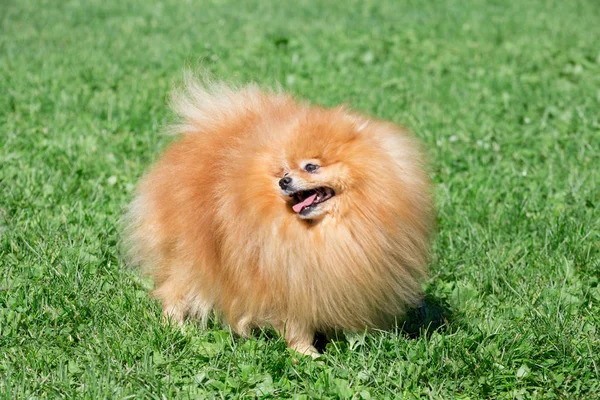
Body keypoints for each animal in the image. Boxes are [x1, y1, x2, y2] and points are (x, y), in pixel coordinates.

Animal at [124, 77, 434, 354]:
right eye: (283, 170)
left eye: (311, 167)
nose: (284, 181)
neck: (325, 231)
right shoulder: (286, 278)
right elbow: (296, 325)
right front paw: (307, 354)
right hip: (187, 253)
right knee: (174, 290)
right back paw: (176, 328)